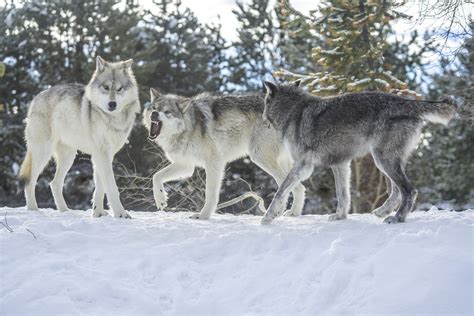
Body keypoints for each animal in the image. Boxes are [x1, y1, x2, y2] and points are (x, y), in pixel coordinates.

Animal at [19, 56, 140, 218]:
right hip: (43, 153)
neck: (112, 119)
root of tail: (36, 98)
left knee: (54, 183)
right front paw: (120, 214)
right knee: (30, 182)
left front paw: (98, 213)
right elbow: (111, 186)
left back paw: (65, 211)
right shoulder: (101, 154)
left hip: (68, 157)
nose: (112, 104)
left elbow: (100, 187)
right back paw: (34, 210)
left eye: (120, 89)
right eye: (106, 87)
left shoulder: (105, 155)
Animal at [143, 87, 308, 218]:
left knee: (296, 187)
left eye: (167, 112)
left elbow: (210, 194)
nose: (154, 114)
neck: (190, 127)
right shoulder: (186, 165)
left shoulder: (214, 164)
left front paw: (203, 216)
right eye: (154, 108)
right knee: (296, 187)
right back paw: (288, 213)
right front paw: (161, 199)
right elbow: (156, 176)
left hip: (260, 157)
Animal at [262, 81, 458, 225]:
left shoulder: (303, 166)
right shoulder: (340, 164)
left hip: (383, 160)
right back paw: (383, 212)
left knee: (409, 191)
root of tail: (408, 102)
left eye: (264, 102)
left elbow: (280, 191)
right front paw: (340, 216)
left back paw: (397, 218)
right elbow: (343, 195)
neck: (292, 111)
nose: (262, 117)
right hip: (385, 162)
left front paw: (267, 217)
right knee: (396, 191)